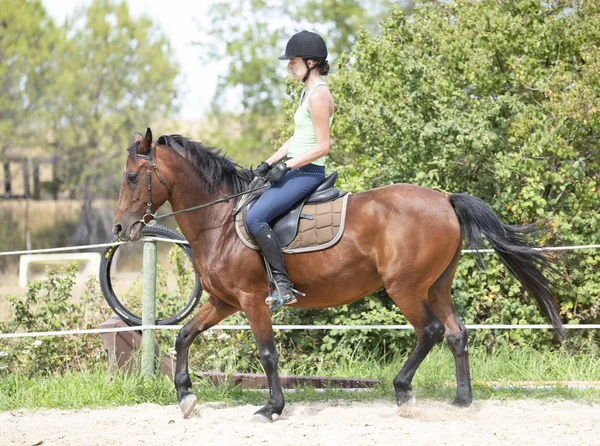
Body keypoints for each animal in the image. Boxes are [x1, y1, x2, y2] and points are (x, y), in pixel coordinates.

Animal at [111, 128, 564, 422]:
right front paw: (185, 397)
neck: (220, 219)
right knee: (455, 333)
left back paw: (403, 391)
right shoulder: (223, 301)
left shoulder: (253, 300)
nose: (119, 228)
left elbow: (267, 353)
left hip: (405, 287)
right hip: (437, 285)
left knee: (431, 331)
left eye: (132, 177)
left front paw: (272, 408)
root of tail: (445, 198)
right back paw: (461, 401)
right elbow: (183, 335)